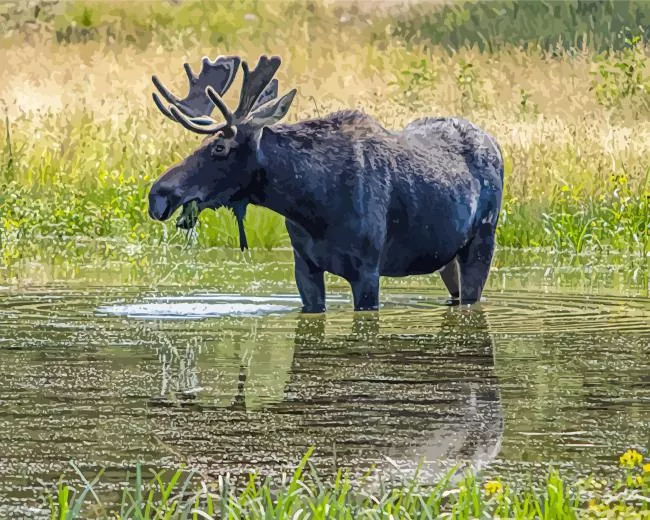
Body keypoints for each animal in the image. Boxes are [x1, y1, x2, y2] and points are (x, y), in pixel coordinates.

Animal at [148, 54, 504, 312]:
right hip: (447, 257)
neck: (310, 204)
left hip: (482, 243)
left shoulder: (367, 270)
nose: (158, 195)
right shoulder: (304, 267)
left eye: (220, 147)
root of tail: (496, 144)